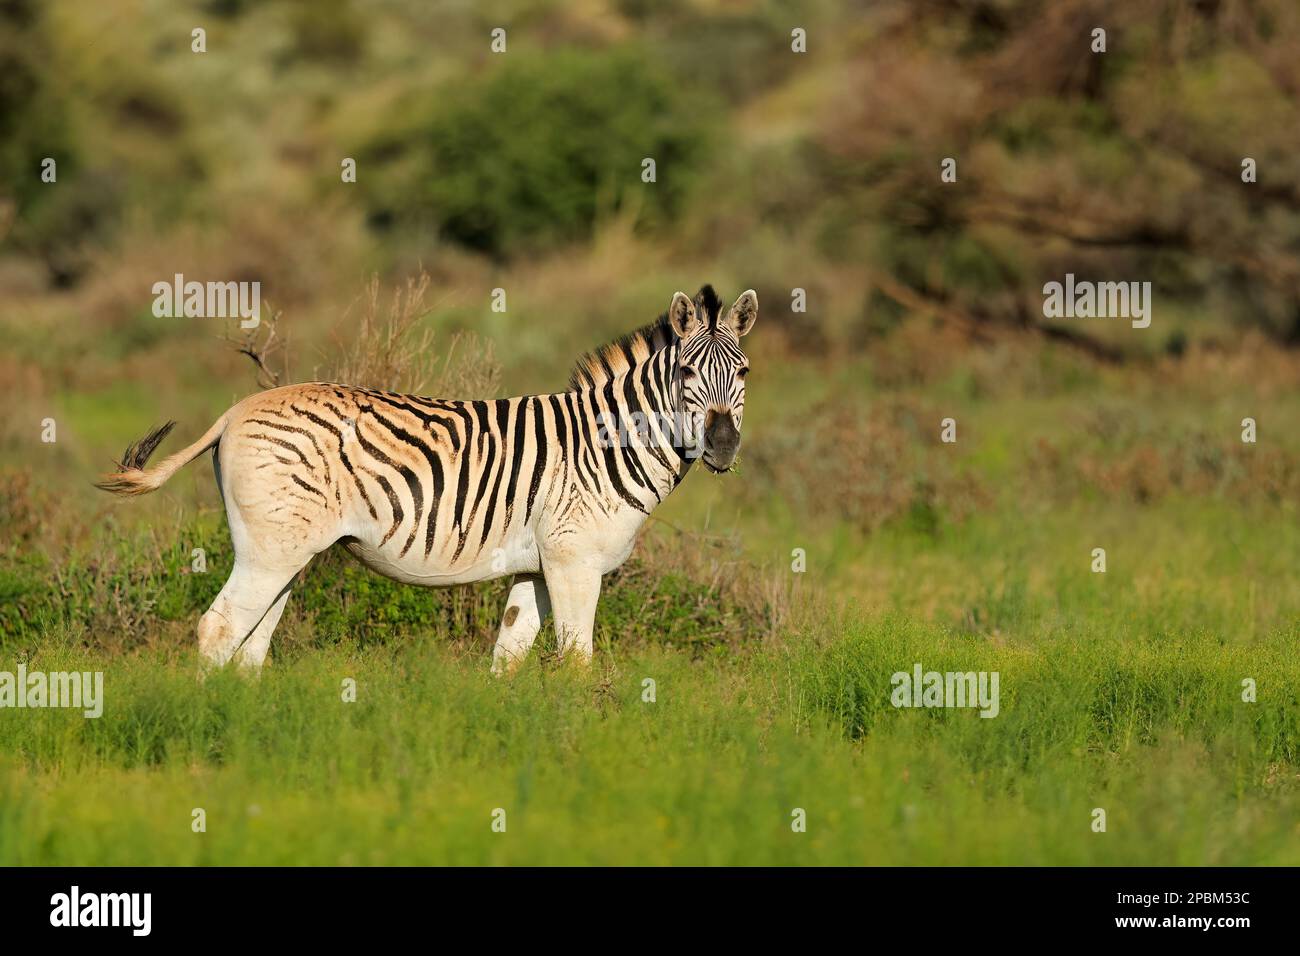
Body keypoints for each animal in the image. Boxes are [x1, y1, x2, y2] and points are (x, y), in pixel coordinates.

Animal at [98, 283, 754, 671]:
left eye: (744, 372)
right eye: (687, 373)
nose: (723, 446)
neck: (611, 442)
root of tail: (233, 412)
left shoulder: (536, 564)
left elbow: (508, 659)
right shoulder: (574, 560)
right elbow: (575, 660)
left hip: (284, 549)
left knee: (250, 645)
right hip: (270, 549)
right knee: (220, 629)